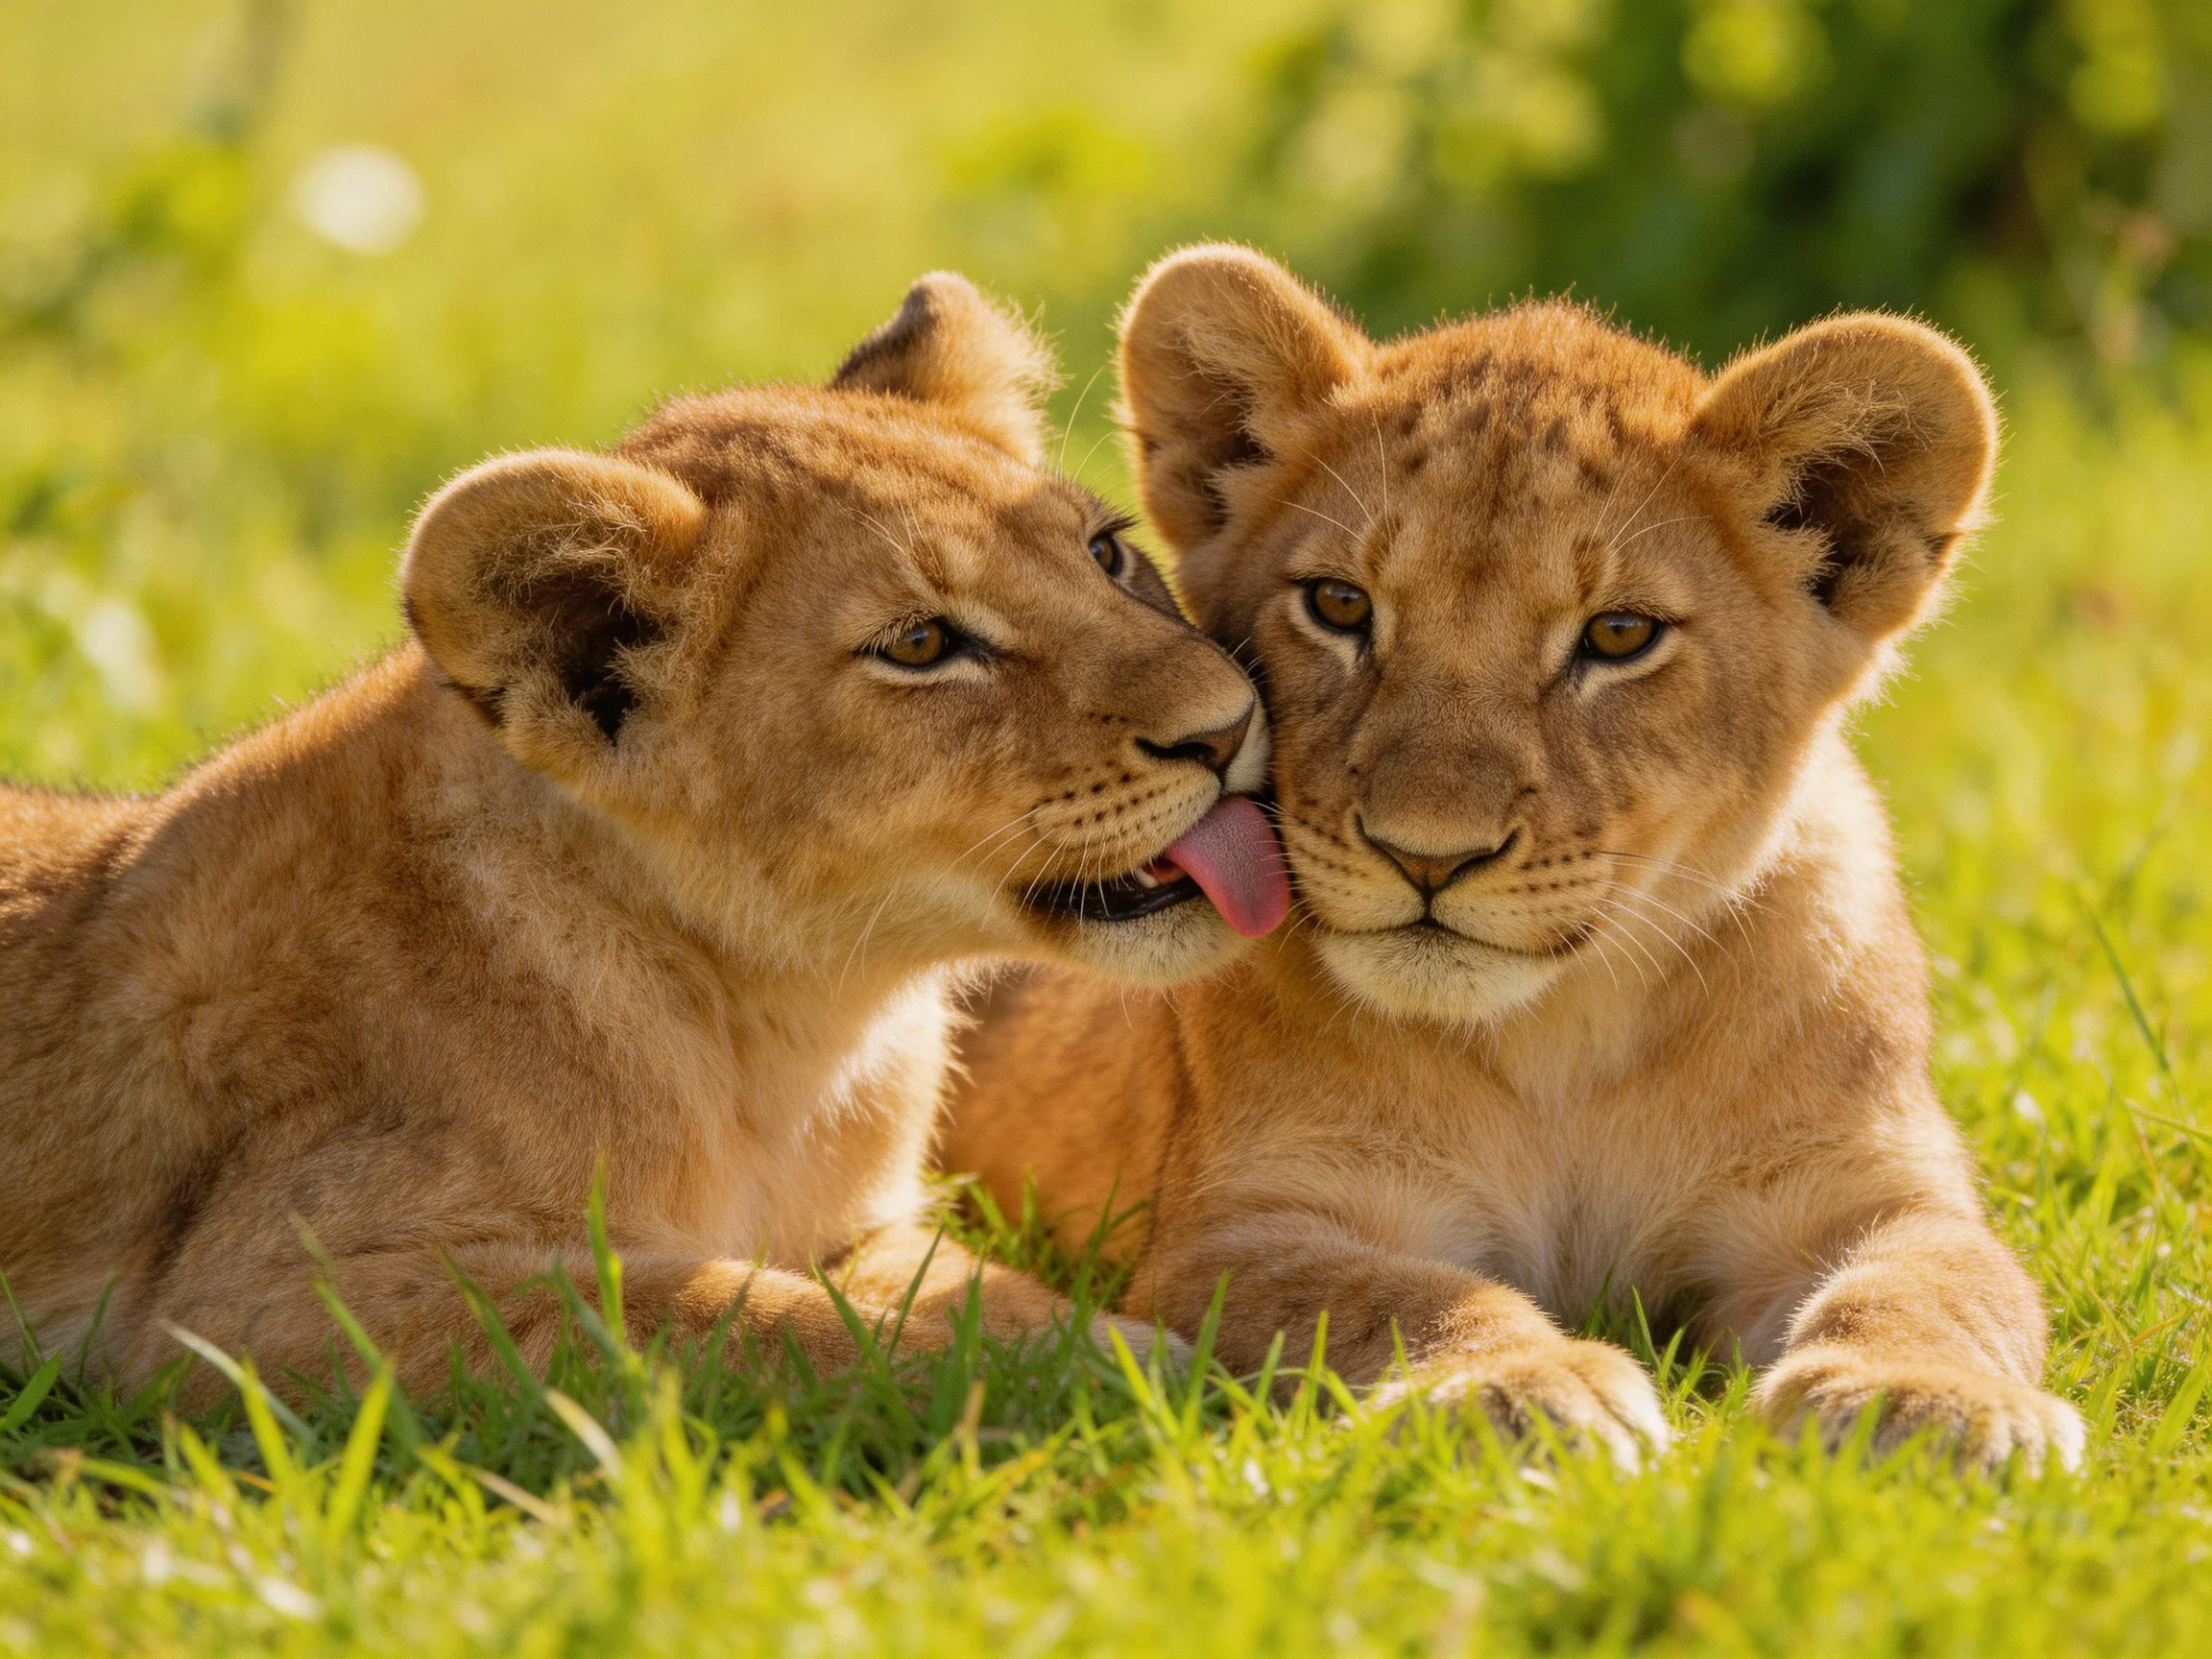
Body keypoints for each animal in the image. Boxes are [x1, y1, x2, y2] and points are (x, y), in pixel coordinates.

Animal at [0, 270, 1291, 1402]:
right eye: (922, 645)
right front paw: (1156, 1376)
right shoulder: (259, 1304)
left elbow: (987, 1298)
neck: (791, 1026)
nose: (1232, 726)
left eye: (1106, 552)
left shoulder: (867, 1231)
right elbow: (740, 1315)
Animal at [940, 246, 2086, 1472]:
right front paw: (1524, 1386)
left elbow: (1944, 1283)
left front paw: (1929, 1403)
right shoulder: (1241, 1230)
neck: (1561, 1036)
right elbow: (1404, 1297)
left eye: (1620, 635)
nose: (1426, 856)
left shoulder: (1866, 1188)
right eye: (1339, 604)